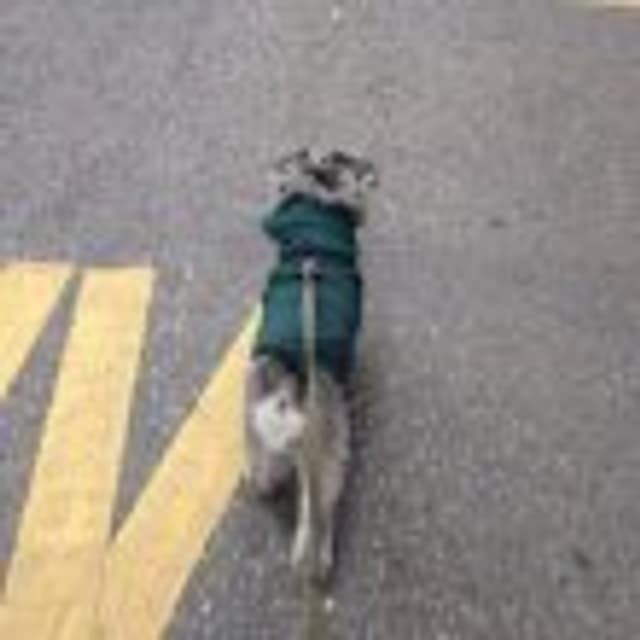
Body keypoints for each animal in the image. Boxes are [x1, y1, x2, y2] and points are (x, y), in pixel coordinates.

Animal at [244, 149, 377, 583]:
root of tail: (289, 392)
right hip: (329, 455)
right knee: (317, 518)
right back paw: (317, 562)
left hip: (255, 421)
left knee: (264, 474)